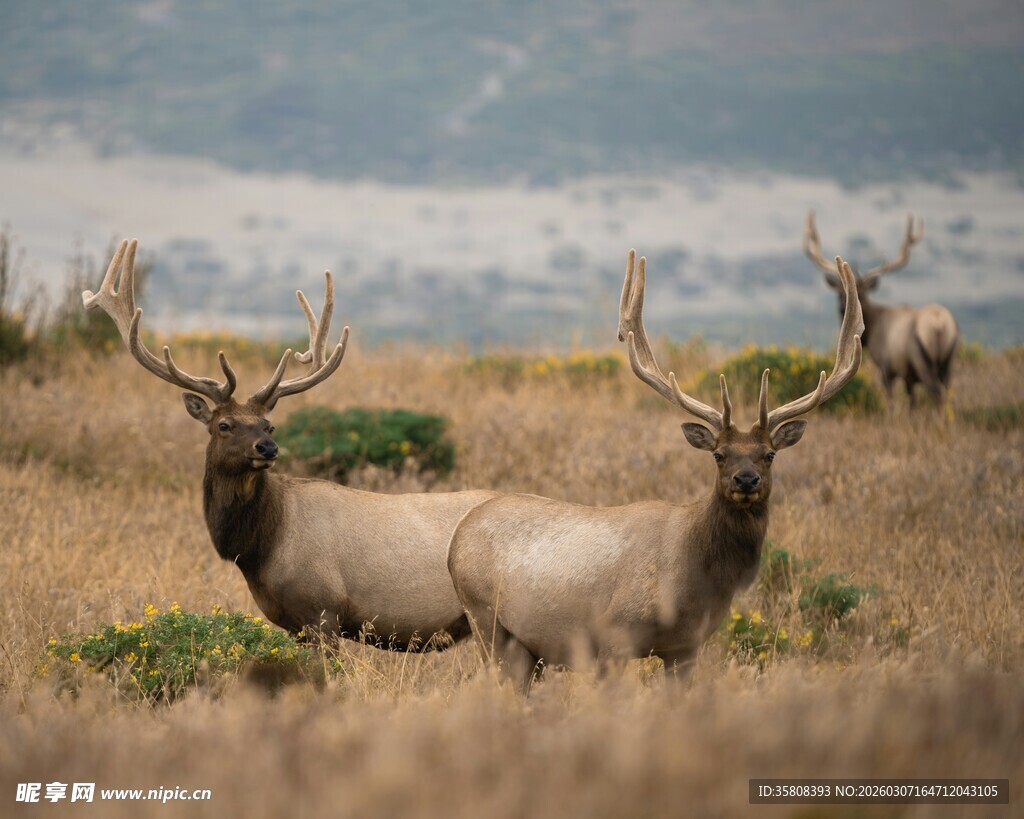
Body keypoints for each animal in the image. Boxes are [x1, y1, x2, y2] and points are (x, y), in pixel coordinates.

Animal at [84, 240, 497, 650]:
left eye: (269, 424)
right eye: (224, 425)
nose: (268, 449)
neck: (260, 549)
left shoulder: (322, 609)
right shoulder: (294, 623)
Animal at [446, 249, 863, 692]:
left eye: (769, 454)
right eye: (719, 454)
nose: (746, 479)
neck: (694, 578)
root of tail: (456, 540)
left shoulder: (686, 647)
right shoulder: (614, 633)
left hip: (526, 645)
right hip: (486, 619)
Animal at [805, 210, 958, 408]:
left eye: (861, 293)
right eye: (838, 291)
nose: (842, 306)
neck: (871, 332)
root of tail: (939, 324)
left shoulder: (886, 366)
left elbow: (891, 402)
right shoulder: (908, 376)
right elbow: (911, 403)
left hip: (921, 360)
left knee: (936, 391)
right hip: (949, 362)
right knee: (946, 391)